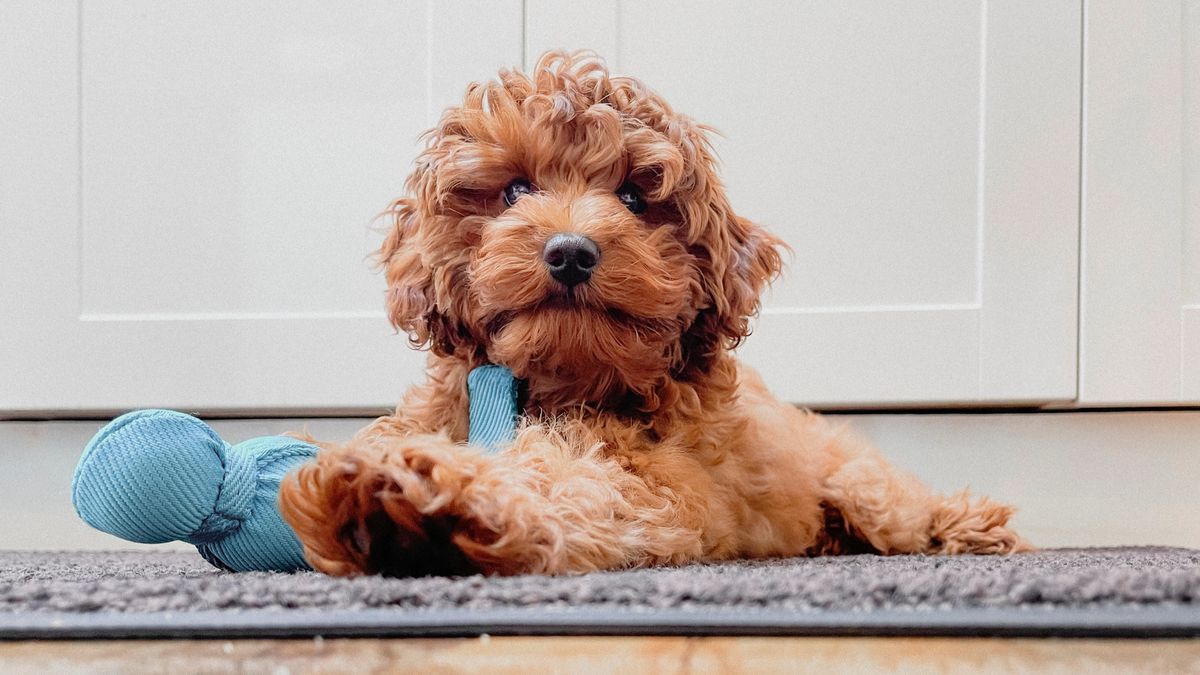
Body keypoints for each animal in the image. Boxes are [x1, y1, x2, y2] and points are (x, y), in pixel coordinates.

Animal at [276, 51, 1027, 571]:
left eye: (635, 197)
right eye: (514, 189)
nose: (571, 252)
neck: (560, 382)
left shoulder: (672, 485)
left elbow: (578, 481)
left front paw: (440, 502)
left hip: (858, 480)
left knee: (899, 508)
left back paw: (969, 524)